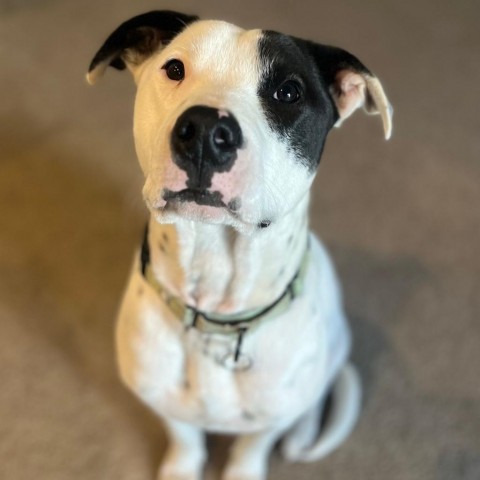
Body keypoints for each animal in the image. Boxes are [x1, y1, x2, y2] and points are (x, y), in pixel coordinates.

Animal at [88, 10, 392, 480]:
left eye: (289, 91)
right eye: (174, 68)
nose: (205, 131)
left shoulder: (267, 419)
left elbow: (252, 447)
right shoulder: (163, 400)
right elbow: (184, 439)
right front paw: (181, 469)